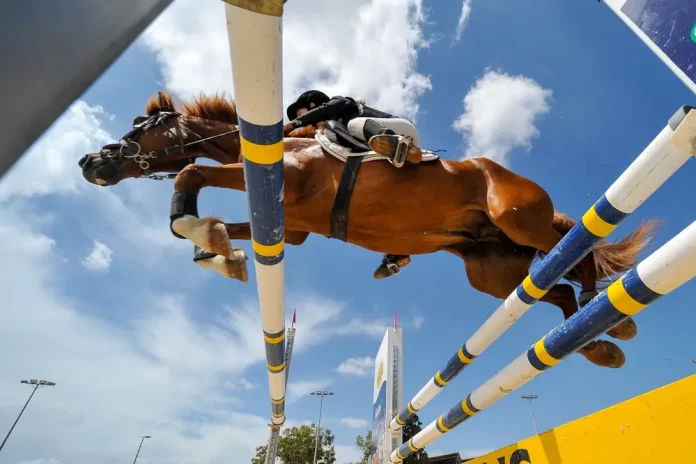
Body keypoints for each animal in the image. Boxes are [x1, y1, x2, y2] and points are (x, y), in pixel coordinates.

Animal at [78, 91, 656, 369]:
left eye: (142, 128)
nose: (90, 162)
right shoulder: (294, 227)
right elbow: (212, 229)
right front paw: (218, 248)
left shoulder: (289, 183)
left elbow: (191, 174)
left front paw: (204, 233)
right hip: (492, 270)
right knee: (553, 290)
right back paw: (599, 343)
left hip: (518, 217)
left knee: (575, 252)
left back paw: (609, 316)